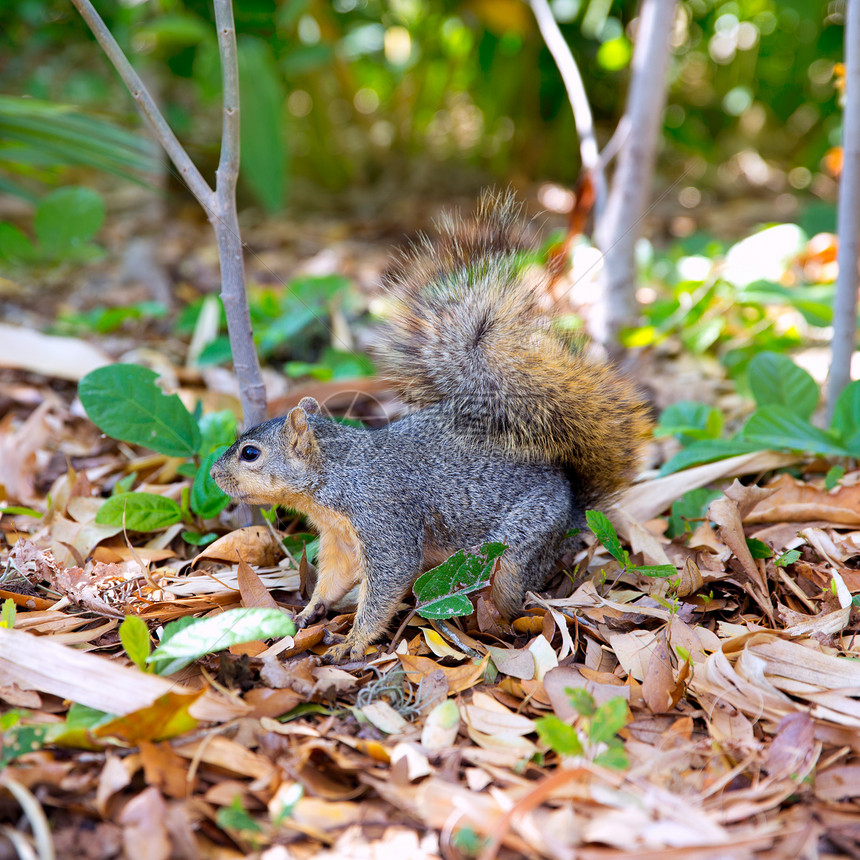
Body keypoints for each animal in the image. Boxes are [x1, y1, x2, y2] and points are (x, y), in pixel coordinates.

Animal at [212, 191, 648, 660]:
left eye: (250, 453)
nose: (214, 474)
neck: (335, 475)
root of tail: (572, 508)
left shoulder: (384, 518)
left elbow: (389, 579)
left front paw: (353, 642)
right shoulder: (341, 540)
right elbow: (334, 578)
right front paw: (311, 610)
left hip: (519, 547)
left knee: (512, 591)